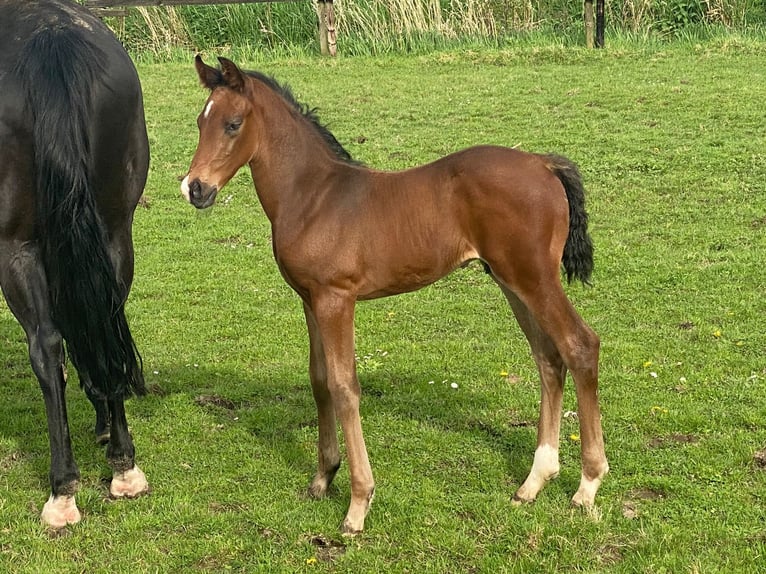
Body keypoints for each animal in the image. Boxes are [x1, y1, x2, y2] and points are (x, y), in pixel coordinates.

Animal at [0, 0, 150, 528]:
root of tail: (51, 42)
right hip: (113, 227)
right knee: (102, 321)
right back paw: (123, 464)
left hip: (15, 247)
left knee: (46, 347)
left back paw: (62, 485)